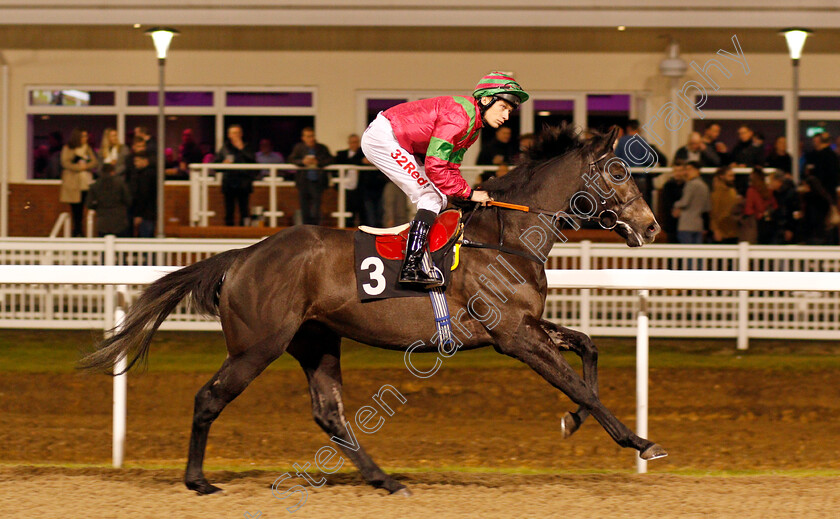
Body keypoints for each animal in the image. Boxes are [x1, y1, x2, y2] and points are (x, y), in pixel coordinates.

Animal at [82, 125, 668, 496]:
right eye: (619, 173)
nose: (653, 226)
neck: (505, 237)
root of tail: (245, 254)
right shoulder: (513, 336)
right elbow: (577, 384)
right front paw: (639, 442)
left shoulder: (525, 326)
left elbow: (587, 351)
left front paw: (574, 423)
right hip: (257, 345)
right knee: (210, 397)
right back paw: (198, 480)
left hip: (316, 340)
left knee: (329, 412)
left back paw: (383, 478)